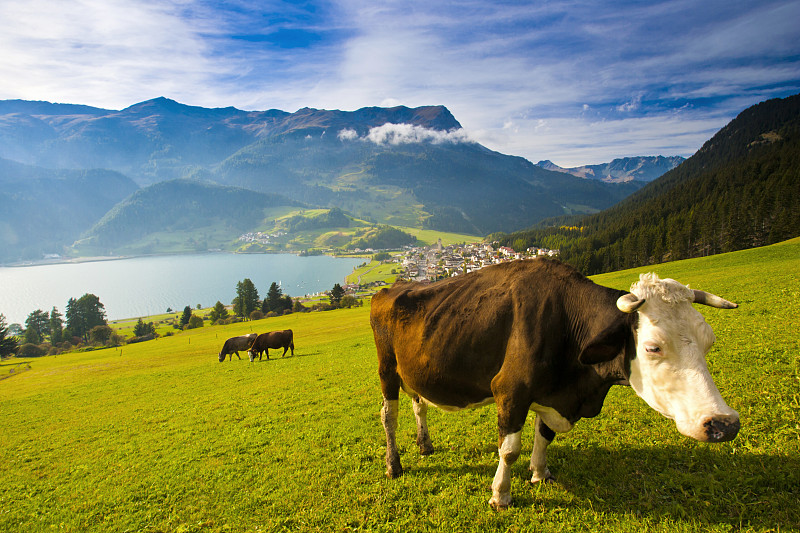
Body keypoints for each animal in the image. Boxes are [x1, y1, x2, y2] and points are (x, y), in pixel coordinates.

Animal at [372, 260, 740, 510]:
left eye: (709, 341)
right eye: (653, 347)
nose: (724, 423)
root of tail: (393, 286)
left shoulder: (551, 394)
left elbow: (544, 435)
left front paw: (540, 473)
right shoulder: (510, 390)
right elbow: (509, 449)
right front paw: (501, 495)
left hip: (414, 372)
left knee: (419, 404)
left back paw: (424, 444)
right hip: (387, 370)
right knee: (389, 417)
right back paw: (394, 465)